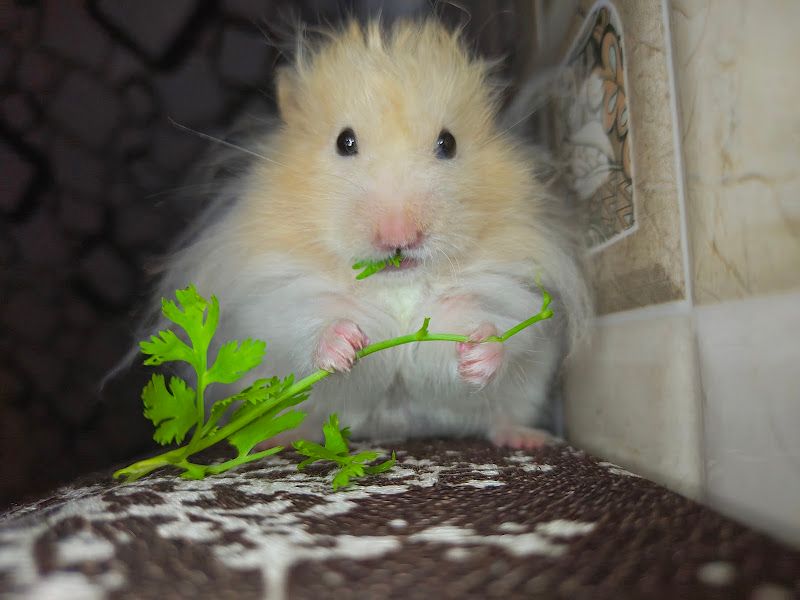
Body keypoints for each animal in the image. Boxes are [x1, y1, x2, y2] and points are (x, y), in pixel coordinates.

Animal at [144, 19, 591, 449]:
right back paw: (280, 439)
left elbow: (493, 321)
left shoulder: (510, 287)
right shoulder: (273, 294)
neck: (394, 285)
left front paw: (477, 351)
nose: (399, 236)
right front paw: (345, 344)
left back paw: (531, 440)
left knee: (499, 418)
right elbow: (305, 320)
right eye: (345, 142)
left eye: (448, 143)